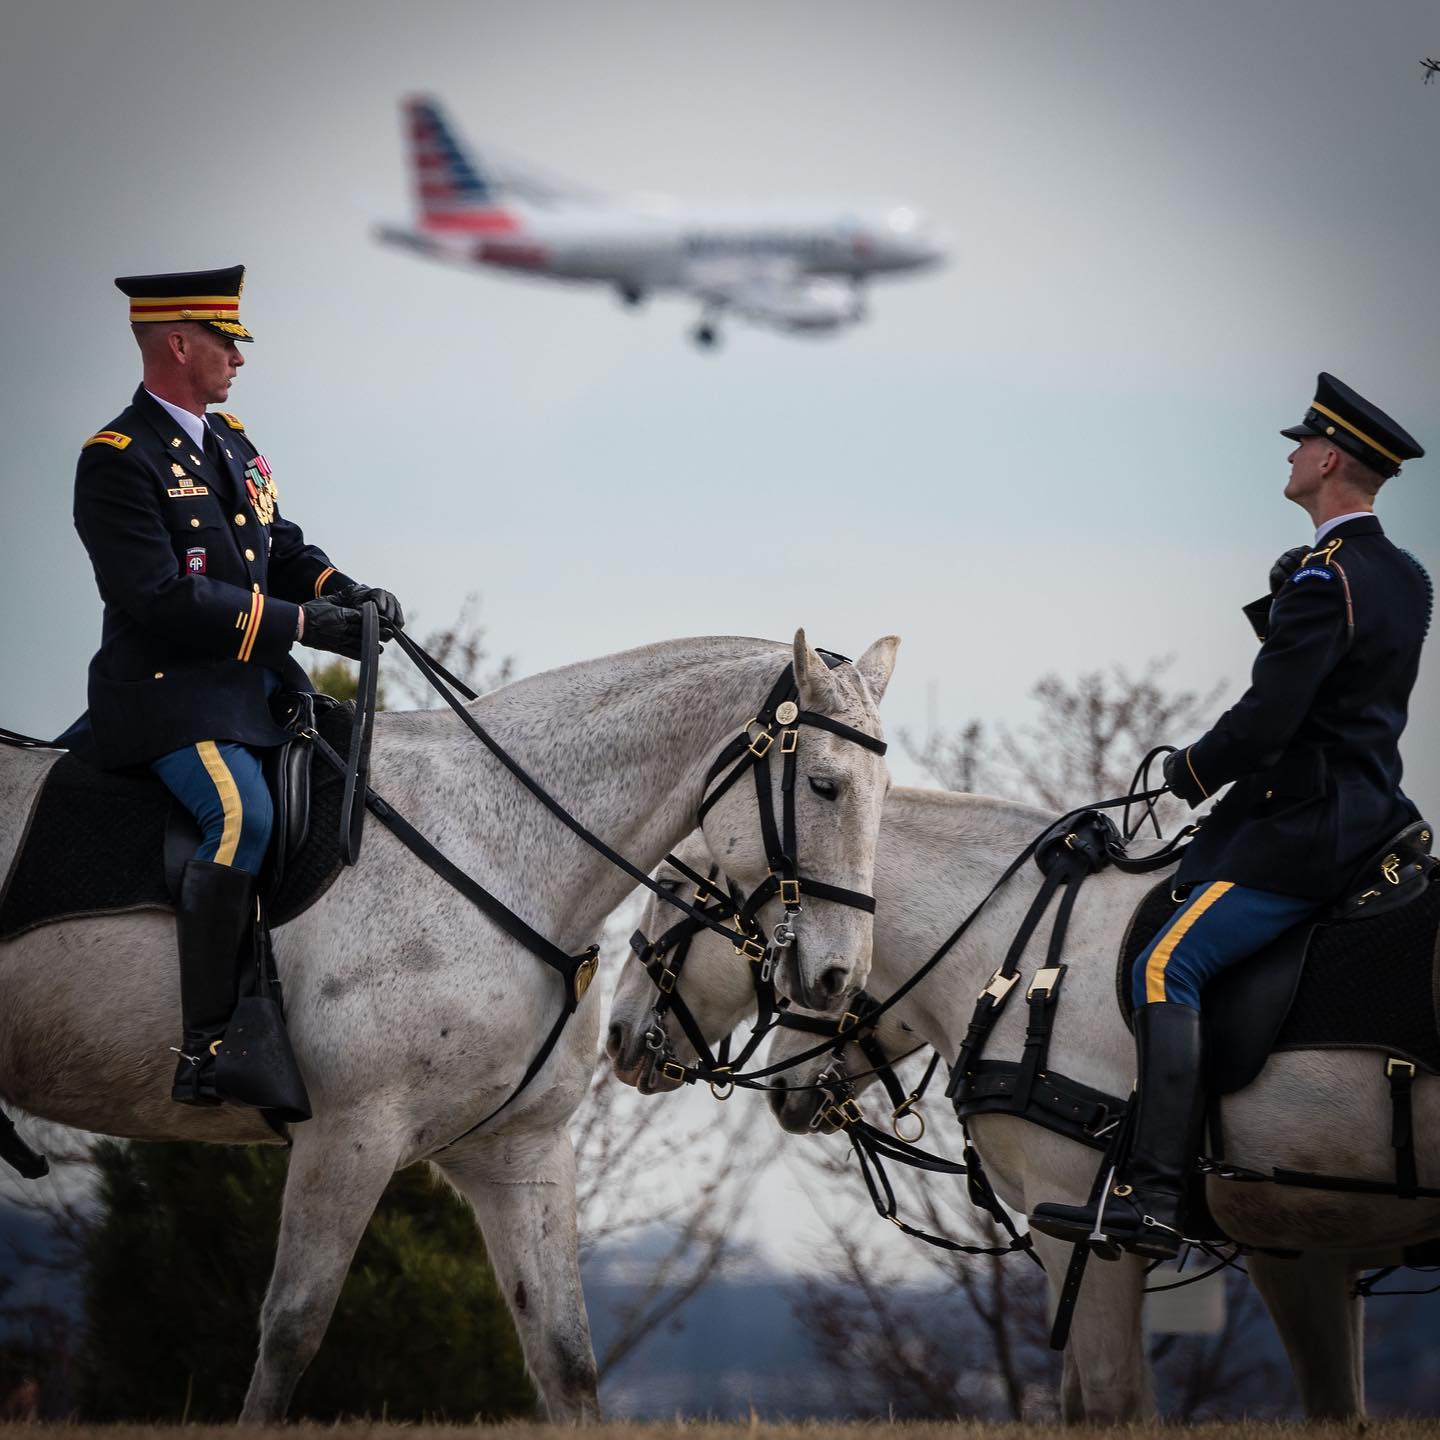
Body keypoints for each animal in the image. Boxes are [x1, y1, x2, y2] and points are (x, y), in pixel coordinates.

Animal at [0, 630, 892, 1416]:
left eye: (883, 799)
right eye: (823, 787)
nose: (838, 978)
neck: (496, 845)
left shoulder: (517, 1151)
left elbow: (565, 1359)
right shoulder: (349, 1137)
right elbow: (291, 1334)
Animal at [604, 794, 1440, 1422]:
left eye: (676, 894)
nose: (616, 1036)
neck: (1030, 959)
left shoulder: (1083, 1232)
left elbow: (1110, 1403)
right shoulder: (1301, 1251)